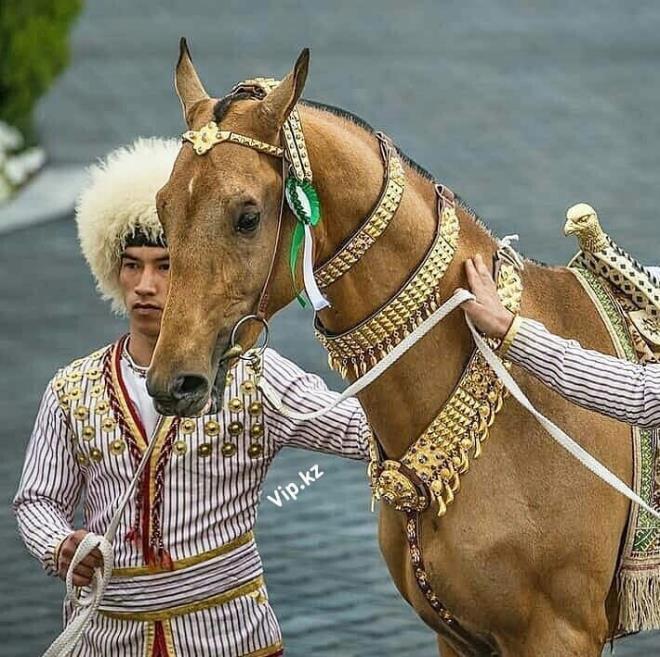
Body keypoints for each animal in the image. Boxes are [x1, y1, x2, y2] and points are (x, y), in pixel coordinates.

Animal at [148, 43, 636, 652]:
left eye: (248, 216)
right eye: (163, 209)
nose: (174, 381)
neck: (518, 404)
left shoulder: (560, 635)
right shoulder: (458, 639)